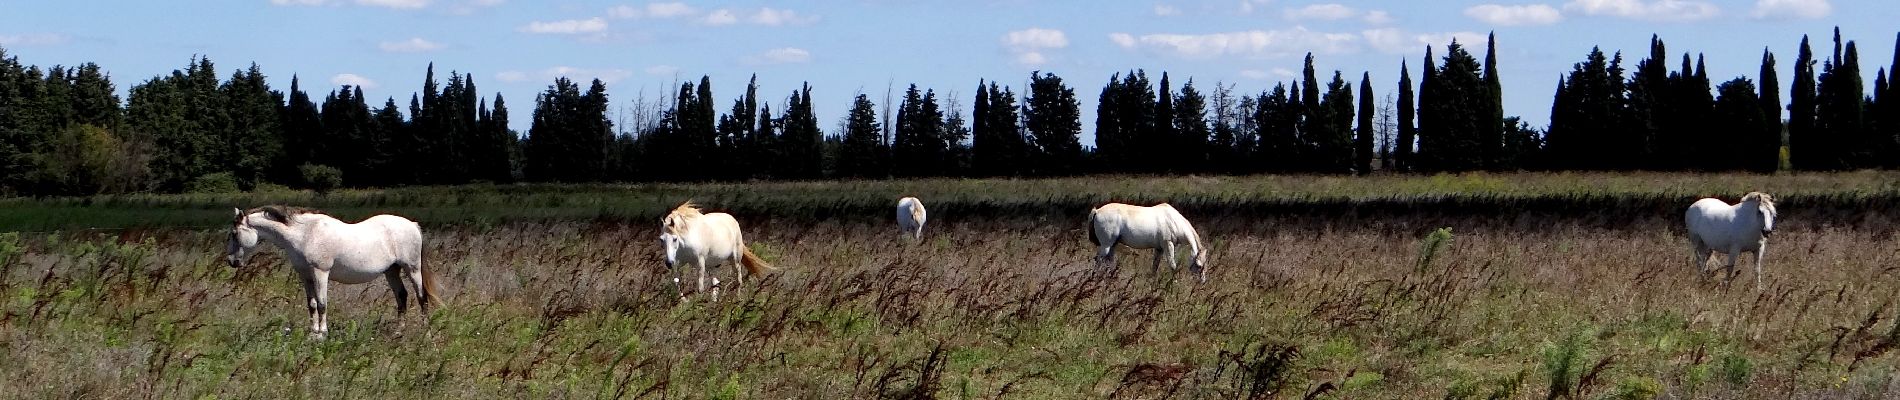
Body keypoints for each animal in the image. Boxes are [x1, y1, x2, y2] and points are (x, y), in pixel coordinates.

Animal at [226, 204, 440, 339]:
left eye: (234, 234)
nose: (231, 261)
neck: (305, 234)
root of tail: (413, 225)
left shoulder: (320, 272)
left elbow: (322, 304)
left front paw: (322, 334)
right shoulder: (305, 275)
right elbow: (311, 304)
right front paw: (312, 333)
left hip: (412, 268)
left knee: (421, 297)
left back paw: (427, 333)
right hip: (391, 271)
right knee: (401, 296)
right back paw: (398, 332)